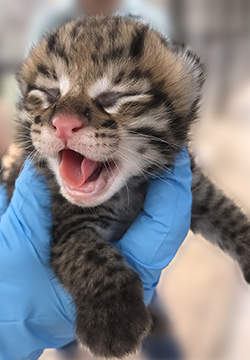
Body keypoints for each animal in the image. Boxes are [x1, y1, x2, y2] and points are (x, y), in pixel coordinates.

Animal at [1, 16, 250, 358]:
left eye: (114, 98)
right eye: (49, 94)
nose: (63, 123)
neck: (128, 191)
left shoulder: (193, 188)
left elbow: (227, 212)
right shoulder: (63, 217)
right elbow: (87, 252)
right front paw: (113, 319)